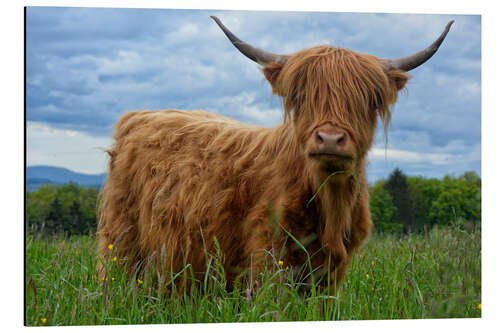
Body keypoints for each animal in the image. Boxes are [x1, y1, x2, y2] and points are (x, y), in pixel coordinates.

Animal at [97, 16, 454, 290]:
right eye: (303, 96)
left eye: (368, 99)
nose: (329, 138)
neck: (330, 204)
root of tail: (140, 115)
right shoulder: (268, 255)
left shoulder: (332, 274)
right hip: (121, 242)